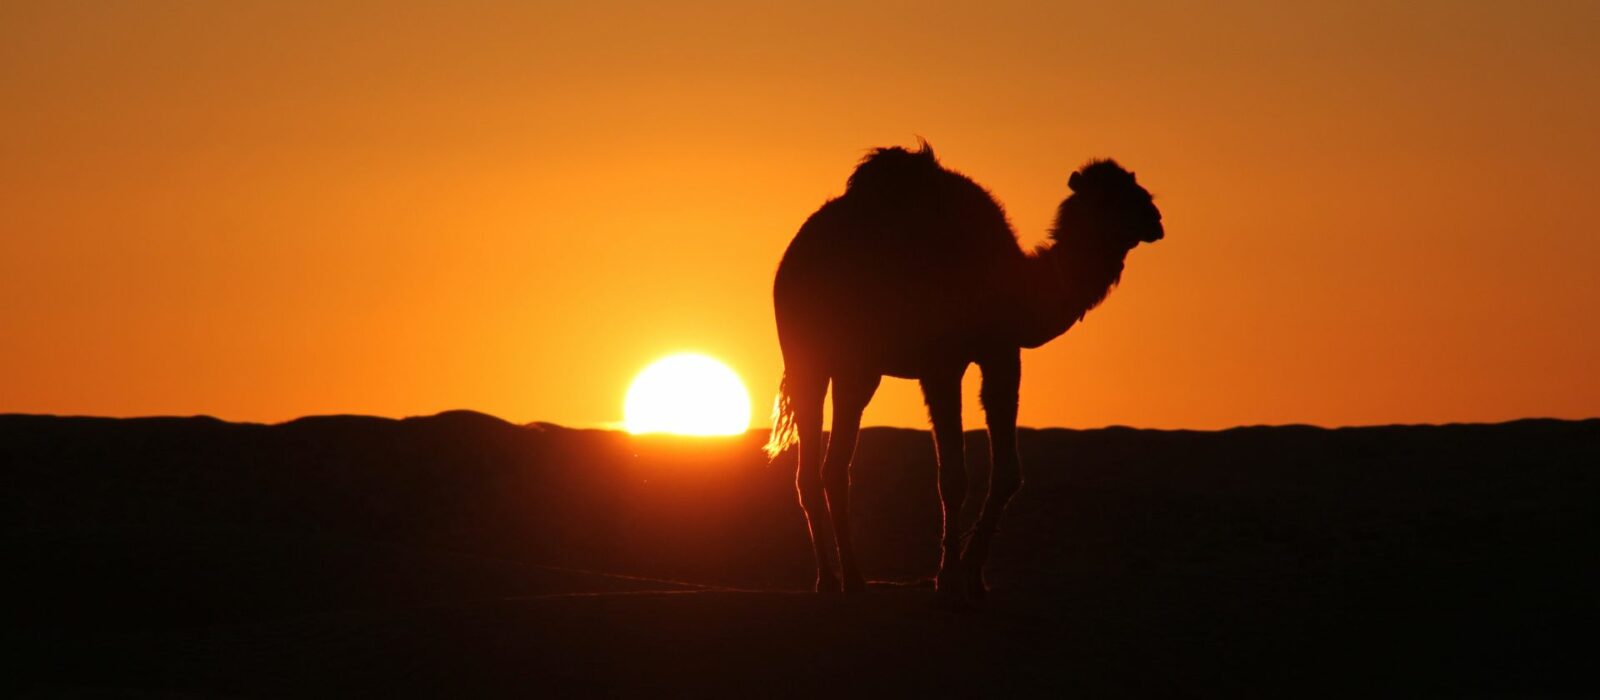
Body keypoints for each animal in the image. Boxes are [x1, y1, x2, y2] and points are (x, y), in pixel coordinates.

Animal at [764, 143, 1164, 600]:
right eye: (1109, 196)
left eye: (1133, 183)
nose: (1155, 217)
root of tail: (792, 258)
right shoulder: (941, 364)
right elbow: (953, 476)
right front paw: (950, 578)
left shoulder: (1001, 353)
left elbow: (1008, 473)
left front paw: (975, 575)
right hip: (807, 356)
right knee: (809, 469)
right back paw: (830, 581)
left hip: (859, 369)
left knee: (835, 467)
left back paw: (854, 578)